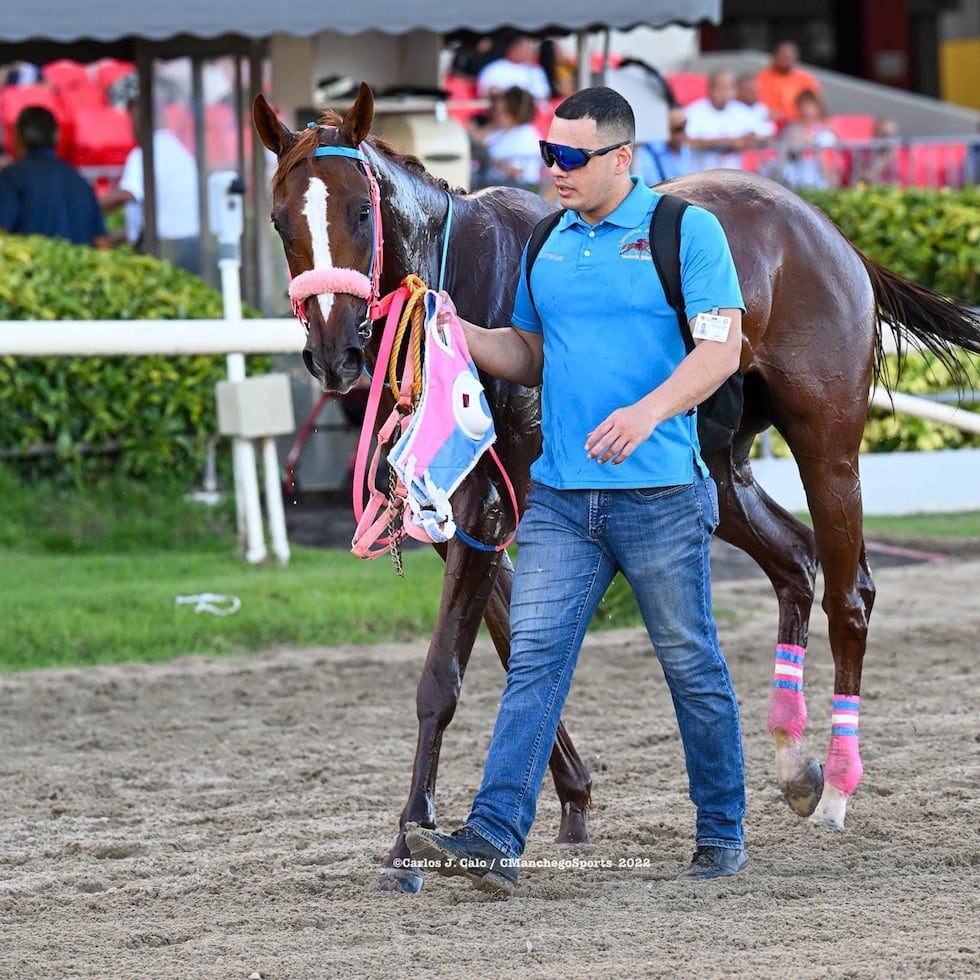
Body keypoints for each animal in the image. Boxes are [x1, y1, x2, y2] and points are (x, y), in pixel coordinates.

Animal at [253, 83, 980, 893]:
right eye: (281, 219)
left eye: (359, 210)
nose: (334, 353)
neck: (466, 276)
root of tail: (827, 231)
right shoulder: (460, 517)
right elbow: (518, 644)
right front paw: (567, 799)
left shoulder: (487, 505)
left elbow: (444, 673)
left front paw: (409, 841)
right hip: (715, 467)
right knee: (794, 560)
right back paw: (796, 764)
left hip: (827, 446)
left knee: (849, 595)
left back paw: (838, 790)